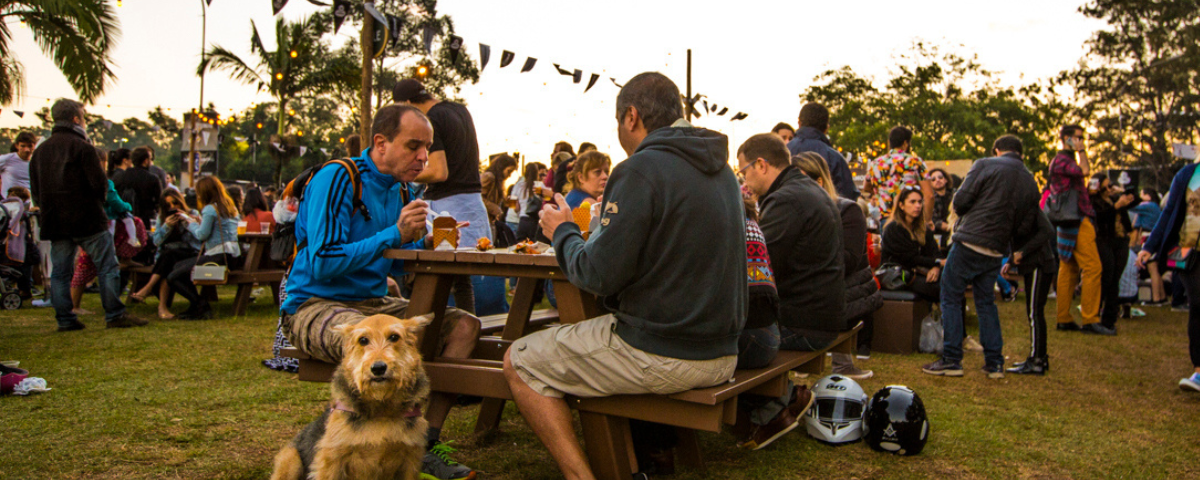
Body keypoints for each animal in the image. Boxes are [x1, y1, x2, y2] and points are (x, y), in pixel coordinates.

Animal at [271, 314, 432, 480]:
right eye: (363, 340)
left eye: (394, 337)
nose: (378, 368)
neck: (381, 407)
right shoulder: (331, 459)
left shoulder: (410, 461)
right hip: (291, 460)